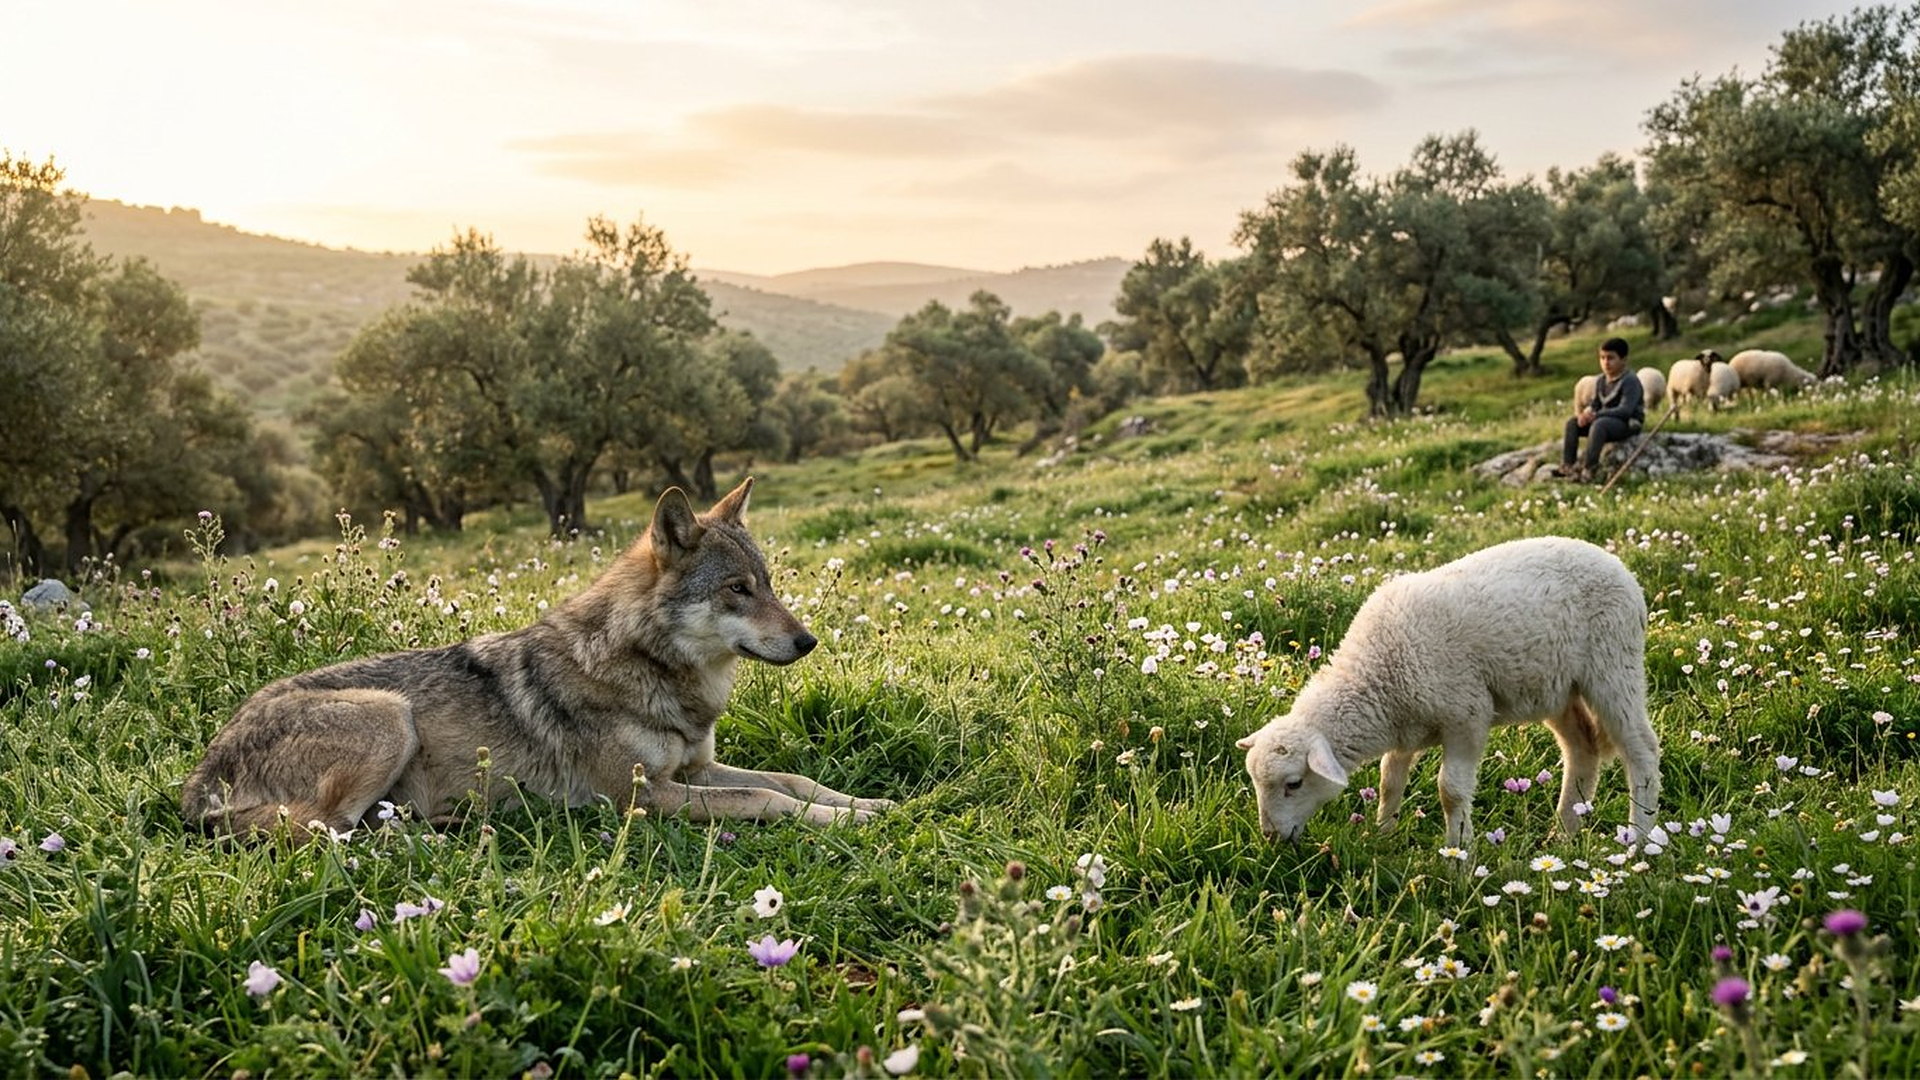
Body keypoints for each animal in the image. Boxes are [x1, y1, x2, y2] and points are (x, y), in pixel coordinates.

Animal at [181, 478, 894, 837]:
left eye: (767, 584)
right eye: (737, 590)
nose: (808, 642)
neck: (653, 669)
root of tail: (195, 784)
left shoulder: (694, 770)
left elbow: (790, 780)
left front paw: (868, 805)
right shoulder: (642, 796)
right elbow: (766, 798)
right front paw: (840, 822)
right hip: (390, 716)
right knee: (312, 832)